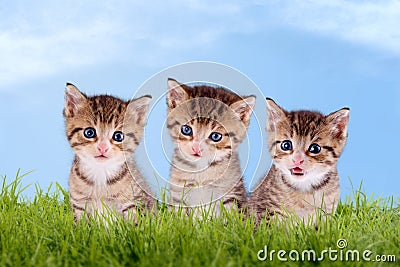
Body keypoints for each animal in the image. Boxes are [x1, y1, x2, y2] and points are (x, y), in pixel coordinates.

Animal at [63, 83, 155, 222]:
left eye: (118, 136)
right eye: (89, 132)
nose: (102, 148)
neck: (101, 173)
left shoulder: (133, 202)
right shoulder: (79, 203)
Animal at [248, 98, 348, 226]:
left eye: (315, 148)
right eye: (286, 145)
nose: (297, 159)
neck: (304, 188)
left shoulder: (327, 212)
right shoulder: (265, 210)